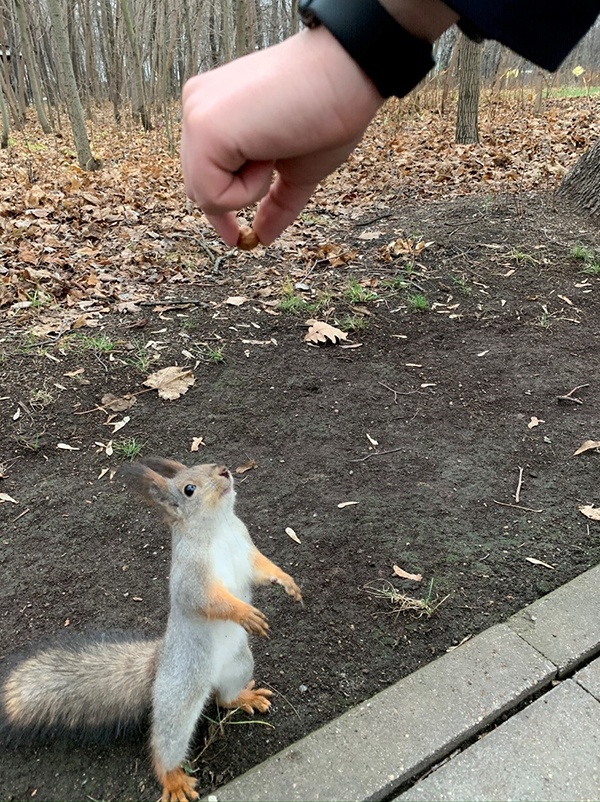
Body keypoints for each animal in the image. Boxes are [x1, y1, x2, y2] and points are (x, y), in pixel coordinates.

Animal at [0, 456, 300, 800]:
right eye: (189, 489)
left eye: (208, 463)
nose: (224, 471)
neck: (218, 528)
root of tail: (158, 665)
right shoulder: (191, 579)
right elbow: (209, 601)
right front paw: (245, 613)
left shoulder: (246, 550)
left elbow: (263, 569)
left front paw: (288, 582)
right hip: (178, 698)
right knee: (164, 743)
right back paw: (173, 780)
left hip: (239, 665)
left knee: (224, 698)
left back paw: (243, 698)